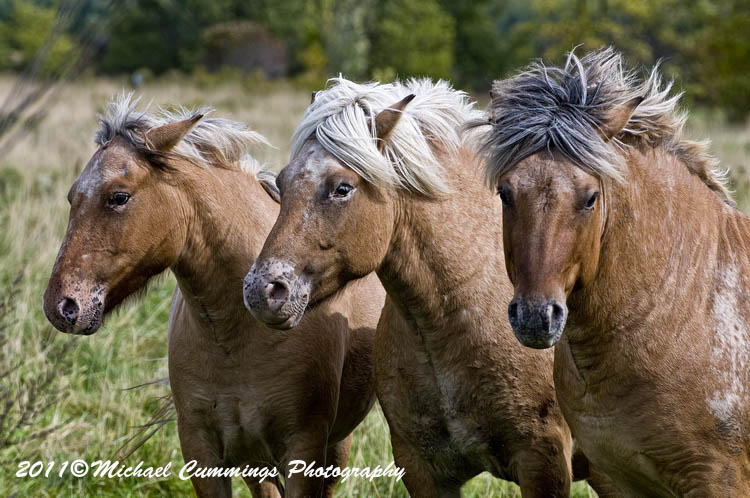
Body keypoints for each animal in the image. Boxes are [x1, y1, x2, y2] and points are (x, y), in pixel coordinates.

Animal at [42, 95, 385, 498]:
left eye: (119, 197)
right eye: (71, 197)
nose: (61, 306)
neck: (236, 335)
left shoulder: (305, 449)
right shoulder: (202, 450)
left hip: (331, 448)